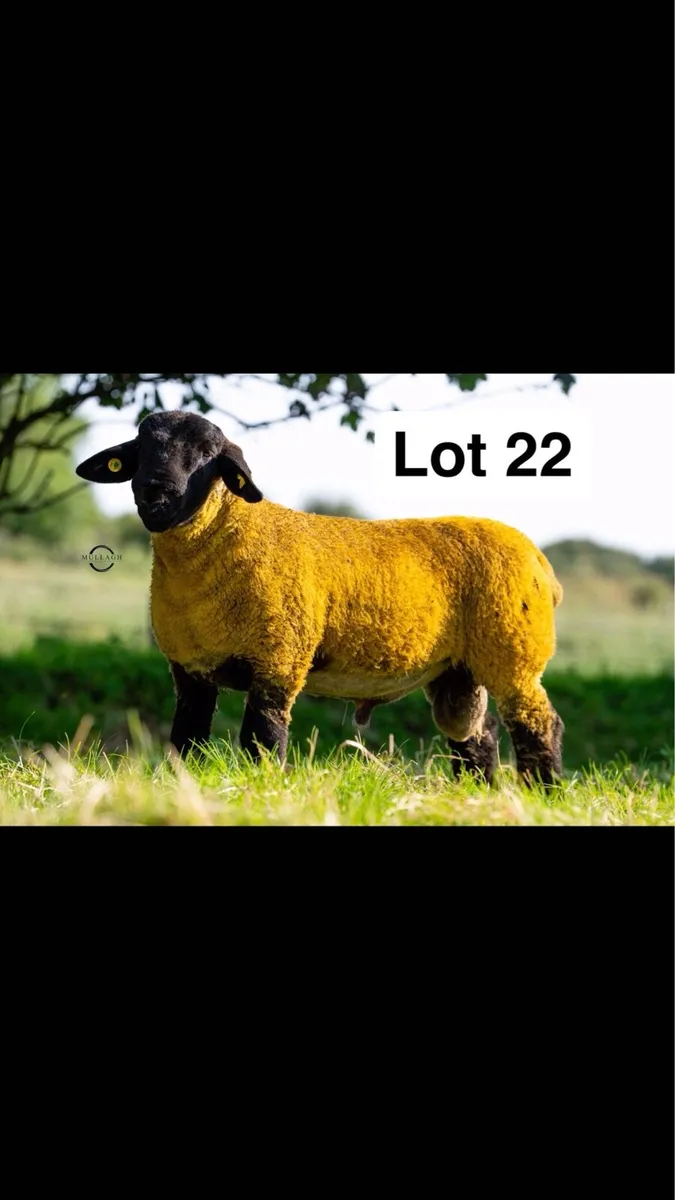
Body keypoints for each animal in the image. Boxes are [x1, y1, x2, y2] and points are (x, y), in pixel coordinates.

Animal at [76, 409, 565, 785]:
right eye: (141, 449)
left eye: (207, 455)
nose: (155, 492)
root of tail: (540, 560)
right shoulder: (190, 671)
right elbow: (186, 742)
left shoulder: (280, 660)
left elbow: (262, 740)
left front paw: (263, 788)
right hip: (460, 670)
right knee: (477, 737)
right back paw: (477, 793)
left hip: (515, 654)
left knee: (539, 726)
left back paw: (545, 793)